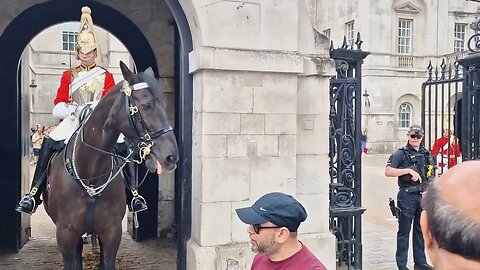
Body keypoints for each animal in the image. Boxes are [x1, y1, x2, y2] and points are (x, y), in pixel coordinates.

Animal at [42, 61, 178, 270]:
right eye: (146, 104)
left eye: (164, 105)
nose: (171, 156)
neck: (90, 174)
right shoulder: (66, 234)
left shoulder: (111, 233)